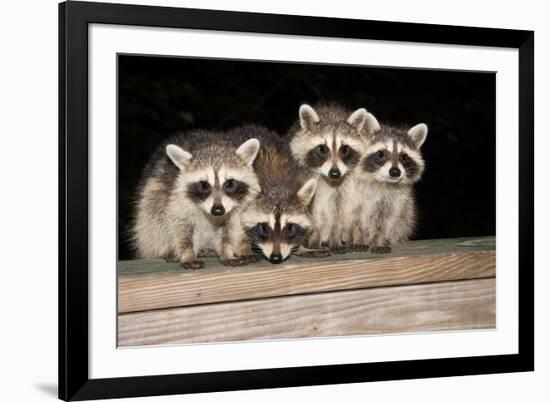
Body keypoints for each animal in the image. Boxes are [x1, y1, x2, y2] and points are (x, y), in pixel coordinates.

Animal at [134, 130, 264, 268]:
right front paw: (188, 254)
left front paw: (227, 251)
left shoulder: (236, 209)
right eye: (204, 185)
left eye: (229, 183)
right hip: (152, 196)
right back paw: (165, 250)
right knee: (154, 220)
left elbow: (230, 230)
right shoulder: (177, 200)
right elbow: (181, 227)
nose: (218, 210)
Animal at [235, 125, 330, 264]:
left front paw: (301, 246)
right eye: (263, 227)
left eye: (290, 228)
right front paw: (244, 248)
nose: (276, 257)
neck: (277, 183)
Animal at [292, 103, 382, 251]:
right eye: (322, 149)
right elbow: (313, 211)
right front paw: (315, 236)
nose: (335, 173)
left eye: (344, 149)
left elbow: (339, 212)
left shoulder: (345, 187)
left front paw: (335, 237)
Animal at [354, 118, 432, 253]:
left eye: (404, 156)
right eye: (381, 154)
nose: (395, 172)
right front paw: (358, 237)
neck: (382, 181)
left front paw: (378, 239)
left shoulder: (392, 200)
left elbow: (384, 220)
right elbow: (355, 217)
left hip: (406, 214)